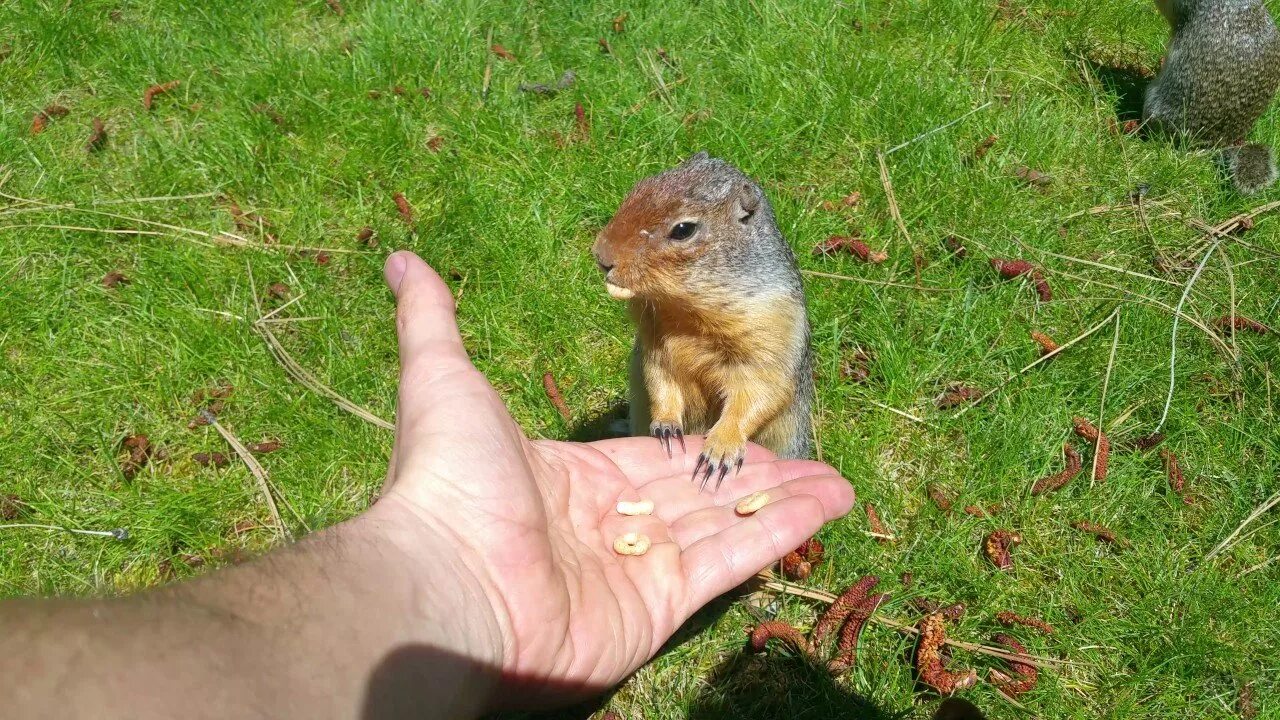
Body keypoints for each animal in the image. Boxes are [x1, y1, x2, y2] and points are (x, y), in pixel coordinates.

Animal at [588, 151, 808, 486]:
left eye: (683, 230)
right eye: (639, 186)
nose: (601, 256)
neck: (685, 309)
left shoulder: (771, 328)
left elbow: (759, 392)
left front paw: (721, 448)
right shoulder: (655, 343)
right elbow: (660, 379)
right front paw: (666, 426)